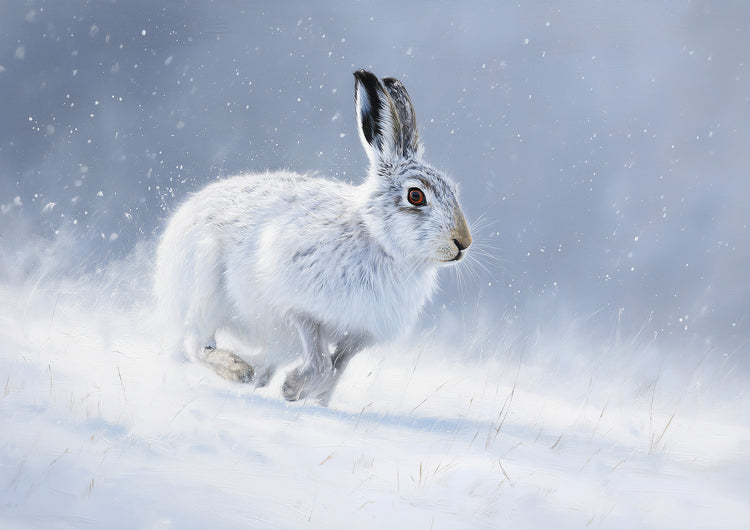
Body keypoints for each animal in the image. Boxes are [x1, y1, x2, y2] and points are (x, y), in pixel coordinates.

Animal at [154, 70, 472, 404]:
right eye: (415, 196)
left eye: (454, 191)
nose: (463, 242)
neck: (379, 240)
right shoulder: (301, 308)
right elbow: (321, 363)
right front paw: (293, 387)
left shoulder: (358, 334)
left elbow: (335, 371)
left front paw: (313, 401)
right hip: (205, 286)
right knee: (195, 344)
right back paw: (238, 370)